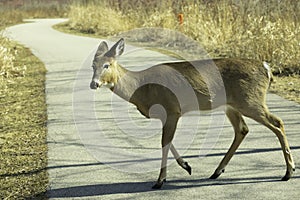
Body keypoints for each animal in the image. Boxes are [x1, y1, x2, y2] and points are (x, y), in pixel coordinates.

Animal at [89, 38, 296, 189]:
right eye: (93, 65)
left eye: (107, 65)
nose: (94, 84)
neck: (142, 88)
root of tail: (267, 68)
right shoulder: (168, 114)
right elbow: (168, 142)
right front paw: (186, 166)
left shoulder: (172, 109)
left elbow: (164, 142)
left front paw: (160, 181)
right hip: (232, 105)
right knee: (242, 129)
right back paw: (217, 171)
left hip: (250, 100)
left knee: (277, 123)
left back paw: (288, 172)